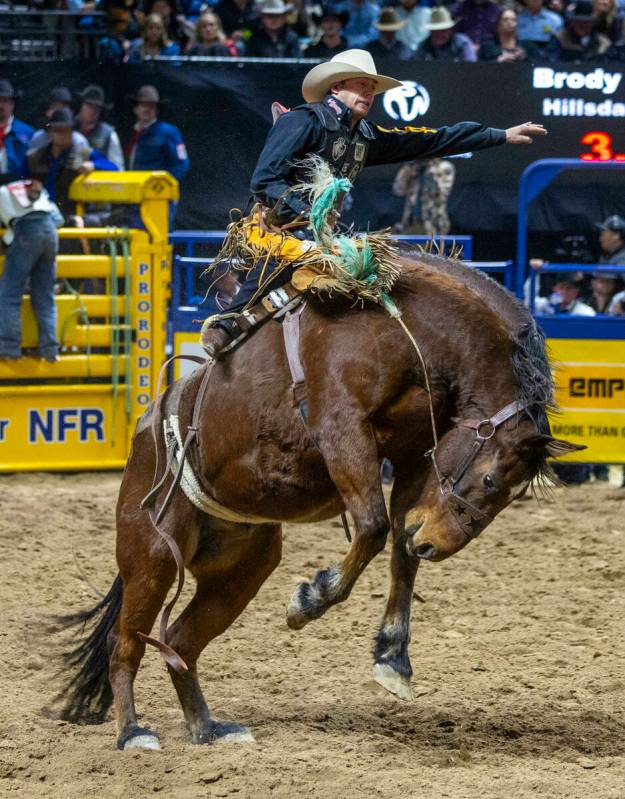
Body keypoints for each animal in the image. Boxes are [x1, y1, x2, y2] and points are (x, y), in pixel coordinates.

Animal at [54, 253, 580, 752]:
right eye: (490, 480)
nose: (434, 543)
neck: (410, 326)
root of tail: (148, 427)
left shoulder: (413, 455)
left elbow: (399, 550)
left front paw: (393, 658)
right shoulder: (341, 429)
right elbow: (372, 527)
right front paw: (310, 599)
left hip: (243, 569)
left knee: (179, 640)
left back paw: (208, 727)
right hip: (152, 554)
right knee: (124, 643)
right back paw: (132, 732)